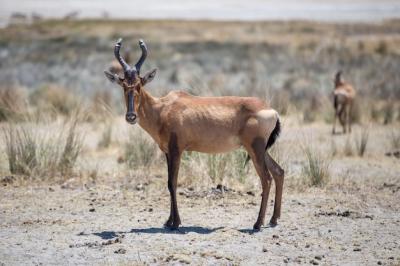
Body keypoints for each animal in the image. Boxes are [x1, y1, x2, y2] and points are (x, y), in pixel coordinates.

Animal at [103, 38, 284, 230]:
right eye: (123, 85)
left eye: (139, 84)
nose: (131, 116)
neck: (163, 107)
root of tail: (271, 110)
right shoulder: (167, 152)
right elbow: (169, 183)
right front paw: (169, 221)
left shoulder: (177, 150)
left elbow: (172, 183)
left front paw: (176, 223)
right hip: (260, 150)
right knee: (279, 172)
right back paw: (273, 220)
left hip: (255, 149)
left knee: (267, 179)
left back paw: (258, 223)